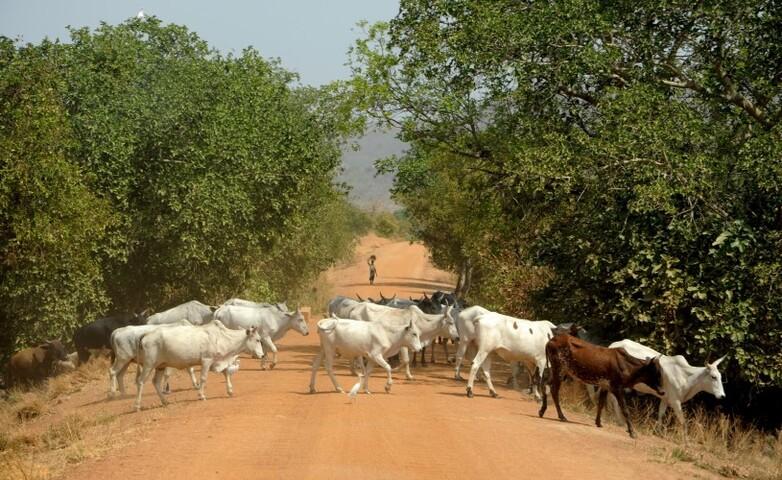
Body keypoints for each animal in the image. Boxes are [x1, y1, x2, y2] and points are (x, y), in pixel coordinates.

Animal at [134, 321, 266, 411]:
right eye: (258, 340)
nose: (262, 355)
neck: (222, 338)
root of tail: (146, 334)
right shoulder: (206, 361)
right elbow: (203, 378)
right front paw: (201, 395)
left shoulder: (217, 361)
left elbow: (226, 373)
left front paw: (230, 391)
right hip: (149, 364)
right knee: (140, 381)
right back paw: (137, 405)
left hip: (160, 366)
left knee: (155, 382)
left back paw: (165, 401)